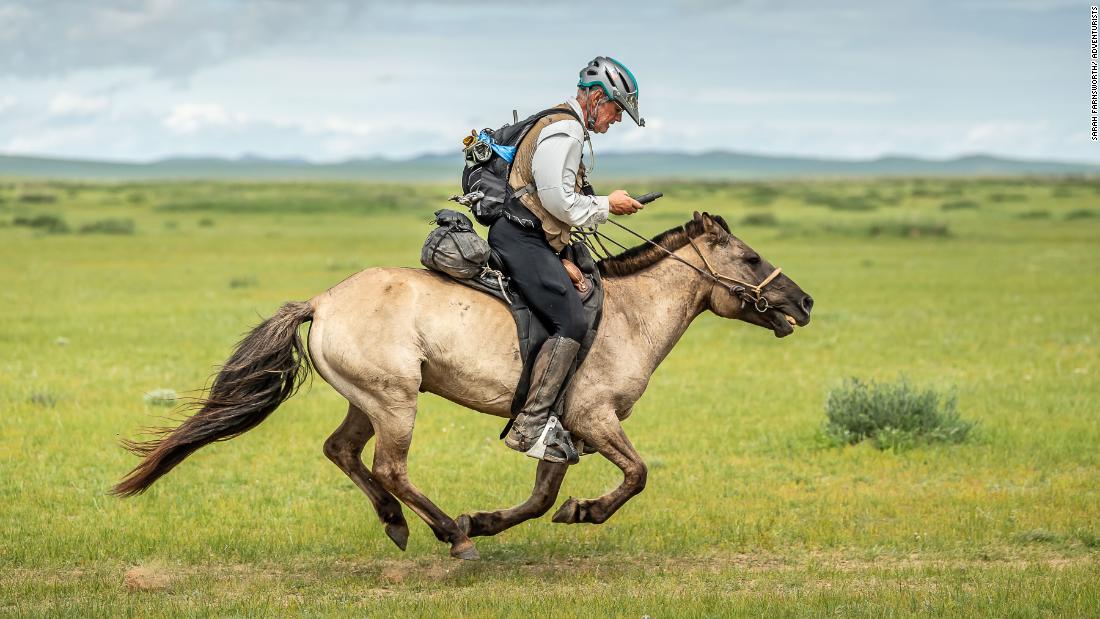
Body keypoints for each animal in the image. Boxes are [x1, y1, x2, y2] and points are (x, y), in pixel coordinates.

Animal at [111, 212, 814, 562]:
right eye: (750, 258)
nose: (803, 303)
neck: (627, 316)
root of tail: (322, 301)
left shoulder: (558, 428)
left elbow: (539, 498)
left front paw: (496, 519)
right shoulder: (593, 419)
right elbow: (637, 476)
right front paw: (581, 513)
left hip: (368, 401)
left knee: (343, 453)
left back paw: (403, 525)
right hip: (396, 402)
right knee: (389, 467)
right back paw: (448, 534)